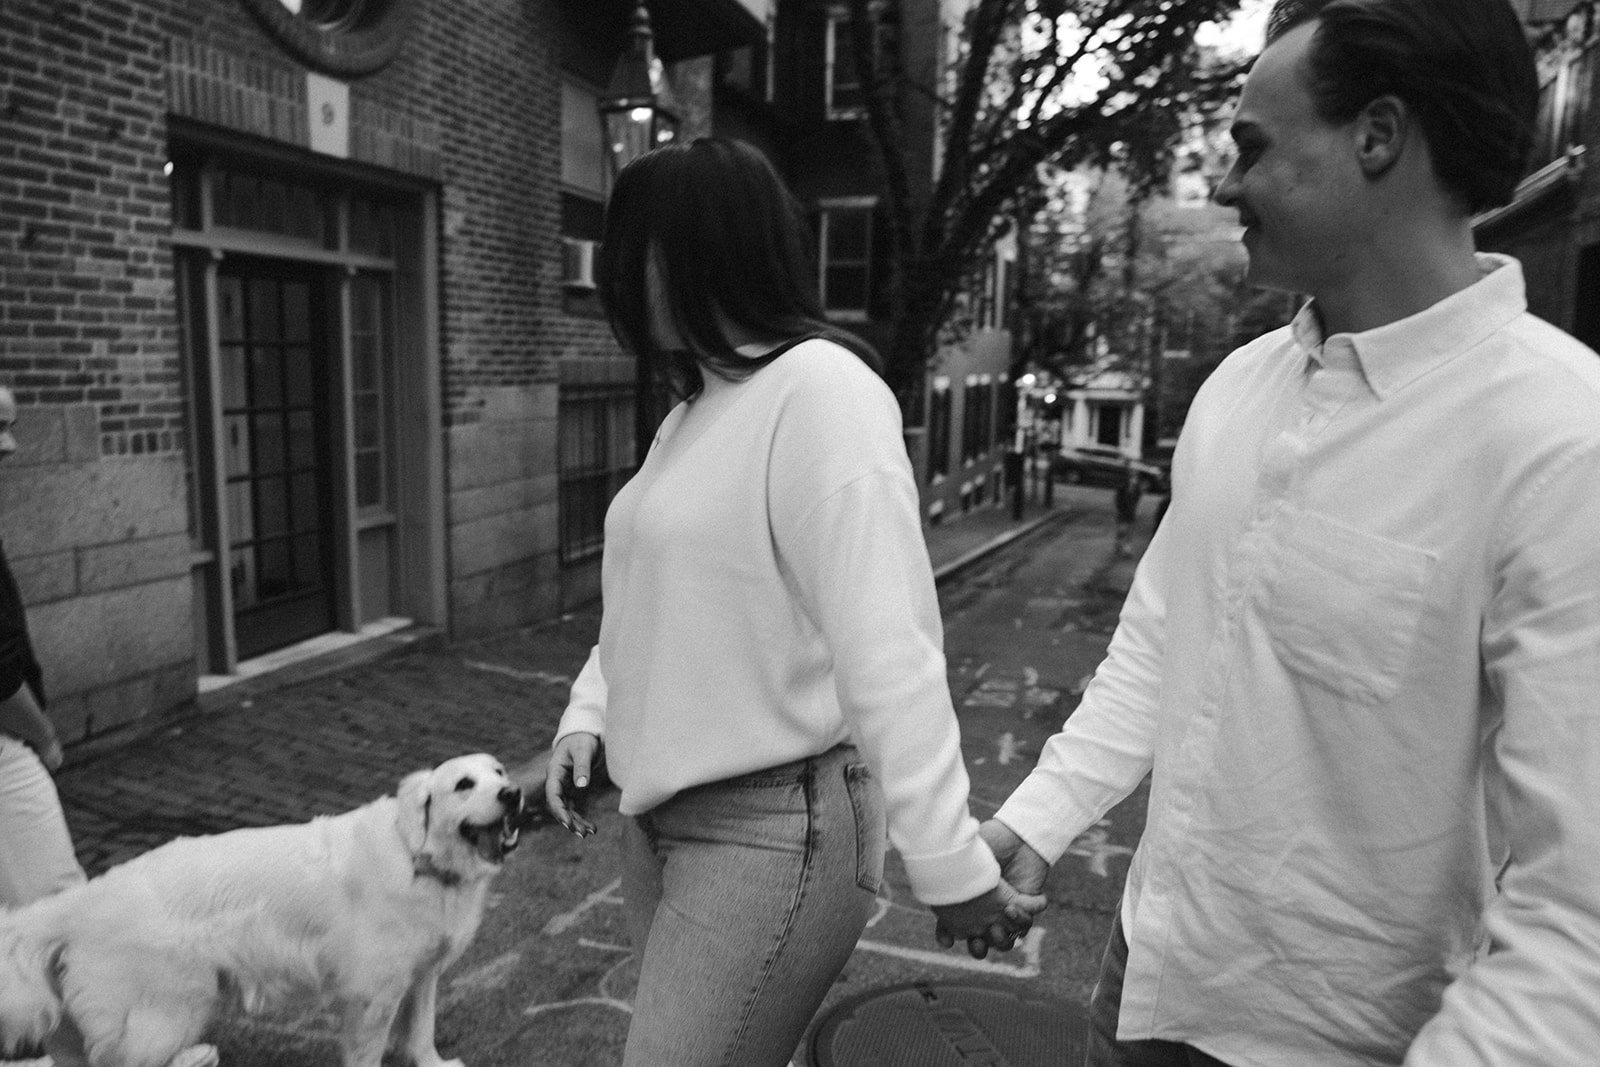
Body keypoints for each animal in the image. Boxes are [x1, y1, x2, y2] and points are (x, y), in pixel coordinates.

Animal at [0, 751, 528, 1067]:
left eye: (500, 773)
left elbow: (421, 1034)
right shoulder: (371, 996)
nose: (514, 793)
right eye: (464, 785)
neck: (416, 856)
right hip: (165, 1015)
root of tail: (85, 899)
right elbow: (370, 1052)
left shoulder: (421, 975)